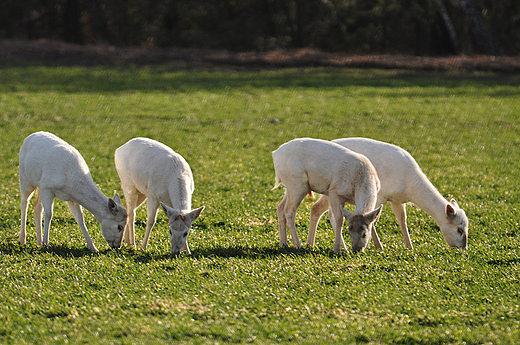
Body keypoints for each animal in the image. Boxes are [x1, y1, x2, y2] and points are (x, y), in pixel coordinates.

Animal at [306, 137, 470, 250]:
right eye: (459, 229)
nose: (463, 248)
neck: (410, 186)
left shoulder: (397, 200)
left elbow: (402, 219)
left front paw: (409, 247)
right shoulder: (380, 196)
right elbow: (373, 221)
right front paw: (379, 247)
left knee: (318, 209)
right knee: (328, 213)